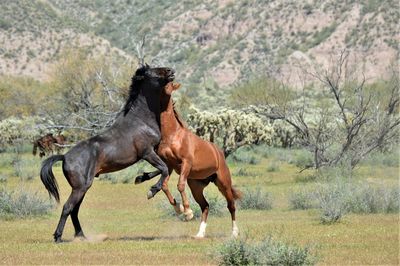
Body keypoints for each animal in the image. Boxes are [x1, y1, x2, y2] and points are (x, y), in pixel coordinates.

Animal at [39, 65, 175, 243]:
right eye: (154, 72)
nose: (171, 71)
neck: (141, 121)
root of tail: (65, 156)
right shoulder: (147, 152)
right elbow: (164, 169)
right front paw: (151, 191)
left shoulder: (152, 152)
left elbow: (164, 169)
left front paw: (140, 178)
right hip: (80, 187)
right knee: (68, 207)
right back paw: (58, 237)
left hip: (82, 188)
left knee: (74, 210)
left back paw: (81, 236)